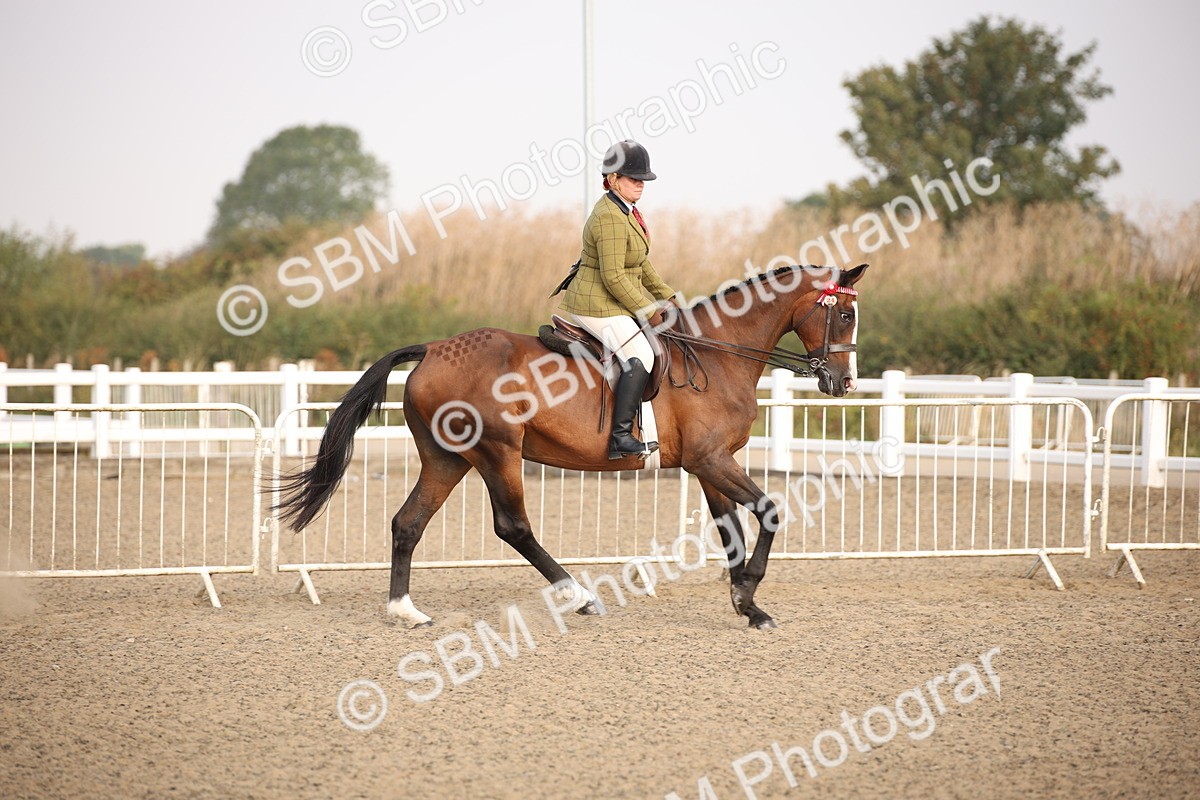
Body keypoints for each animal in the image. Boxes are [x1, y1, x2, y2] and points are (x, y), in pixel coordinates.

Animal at [276, 263, 867, 629]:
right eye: (843, 314)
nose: (843, 383)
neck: (719, 355)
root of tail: (433, 349)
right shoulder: (713, 460)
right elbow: (768, 511)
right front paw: (749, 598)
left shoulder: (709, 465)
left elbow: (732, 533)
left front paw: (747, 604)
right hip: (497, 452)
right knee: (513, 527)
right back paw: (580, 598)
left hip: (447, 459)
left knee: (408, 522)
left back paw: (405, 611)